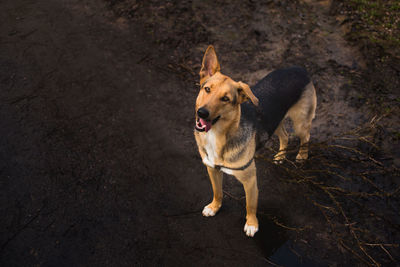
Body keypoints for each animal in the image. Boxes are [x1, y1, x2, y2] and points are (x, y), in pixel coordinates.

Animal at [193, 45, 316, 238]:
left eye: (226, 99)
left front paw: (252, 224)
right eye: (207, 89)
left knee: (306, 137)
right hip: (276, 121)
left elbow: (250, 205)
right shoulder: (212, 169)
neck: (219, 135)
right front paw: (214, 207)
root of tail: (299, 68)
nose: (202, 113)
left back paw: (302, 155)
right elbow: (217, 191)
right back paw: (280, 156)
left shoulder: (250, 179)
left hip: (300, 122)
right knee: (285, 136)